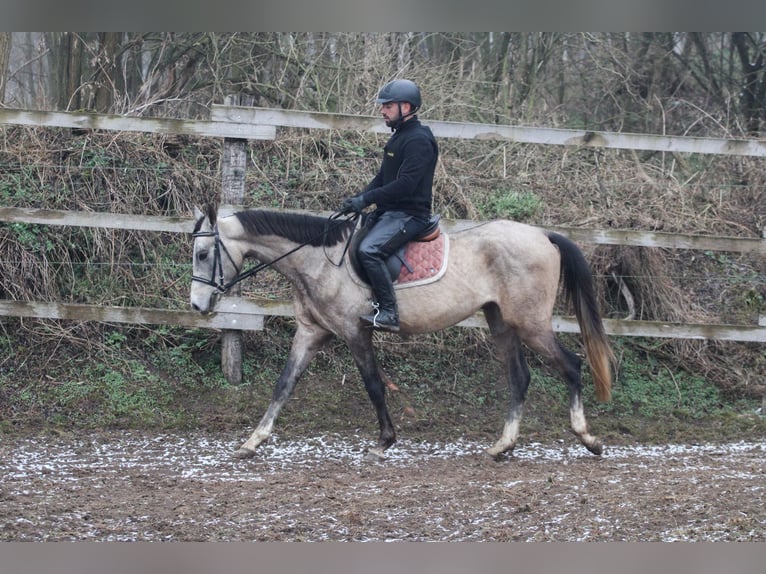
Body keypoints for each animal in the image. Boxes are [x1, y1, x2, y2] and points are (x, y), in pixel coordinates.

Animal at [189, 204, 614, 460]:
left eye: (203, 254)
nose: (197, 306)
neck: (317, 261)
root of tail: (543, 235)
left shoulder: (354, 332)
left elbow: (374, 385)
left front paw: (384, 442)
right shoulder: (311, 333)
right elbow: (283, 385)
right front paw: (251, 443)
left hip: (531, 324)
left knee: (572, 366)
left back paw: (588, 438)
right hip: (502, 324)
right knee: (520, 377)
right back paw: (502, 445)